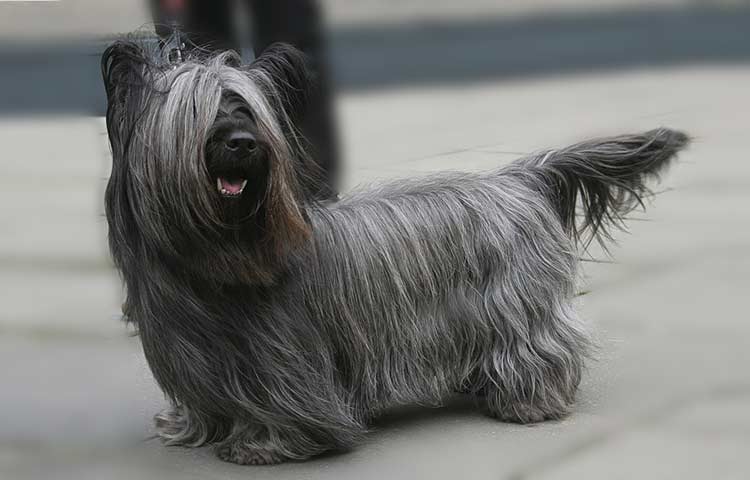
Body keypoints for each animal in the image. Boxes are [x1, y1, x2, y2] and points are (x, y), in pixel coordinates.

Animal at [101, 39, 692, 464]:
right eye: (197, 113)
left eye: (246, 109)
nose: (245, 144)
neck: (215, 259)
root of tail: (518, 178)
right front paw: (192, 430)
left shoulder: (286, 362)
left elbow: (285, 408)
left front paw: (262, 444)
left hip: (516, 306)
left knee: (540, 346)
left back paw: (529, 402)